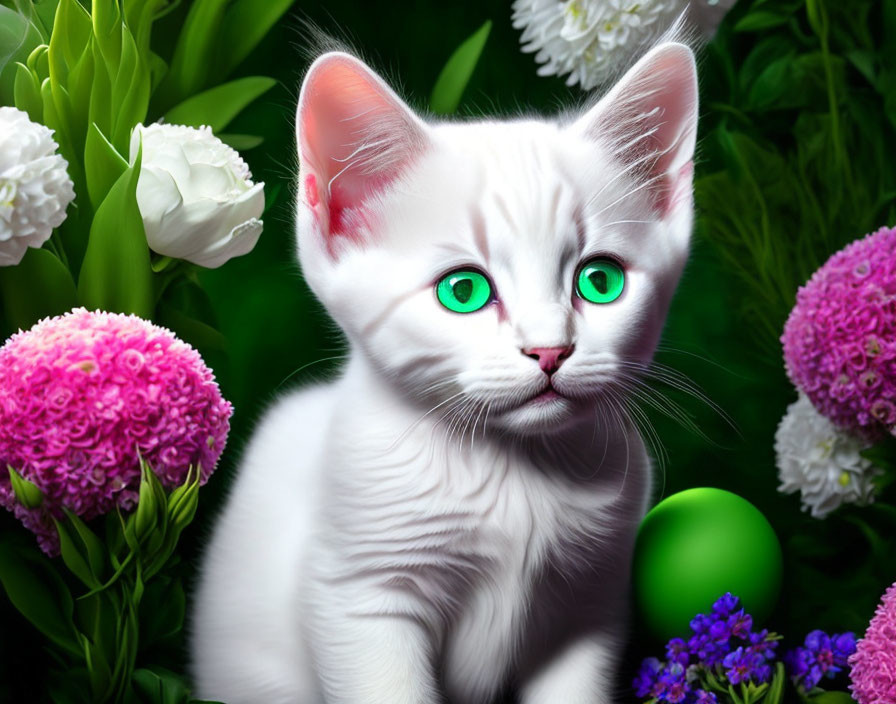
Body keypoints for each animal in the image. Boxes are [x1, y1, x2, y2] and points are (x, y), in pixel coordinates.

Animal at [191, 40, 700, 704]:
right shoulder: (360, 597)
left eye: (600, 280)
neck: (516, 474)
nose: (550, 350)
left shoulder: (590, 606)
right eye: (464, 291)